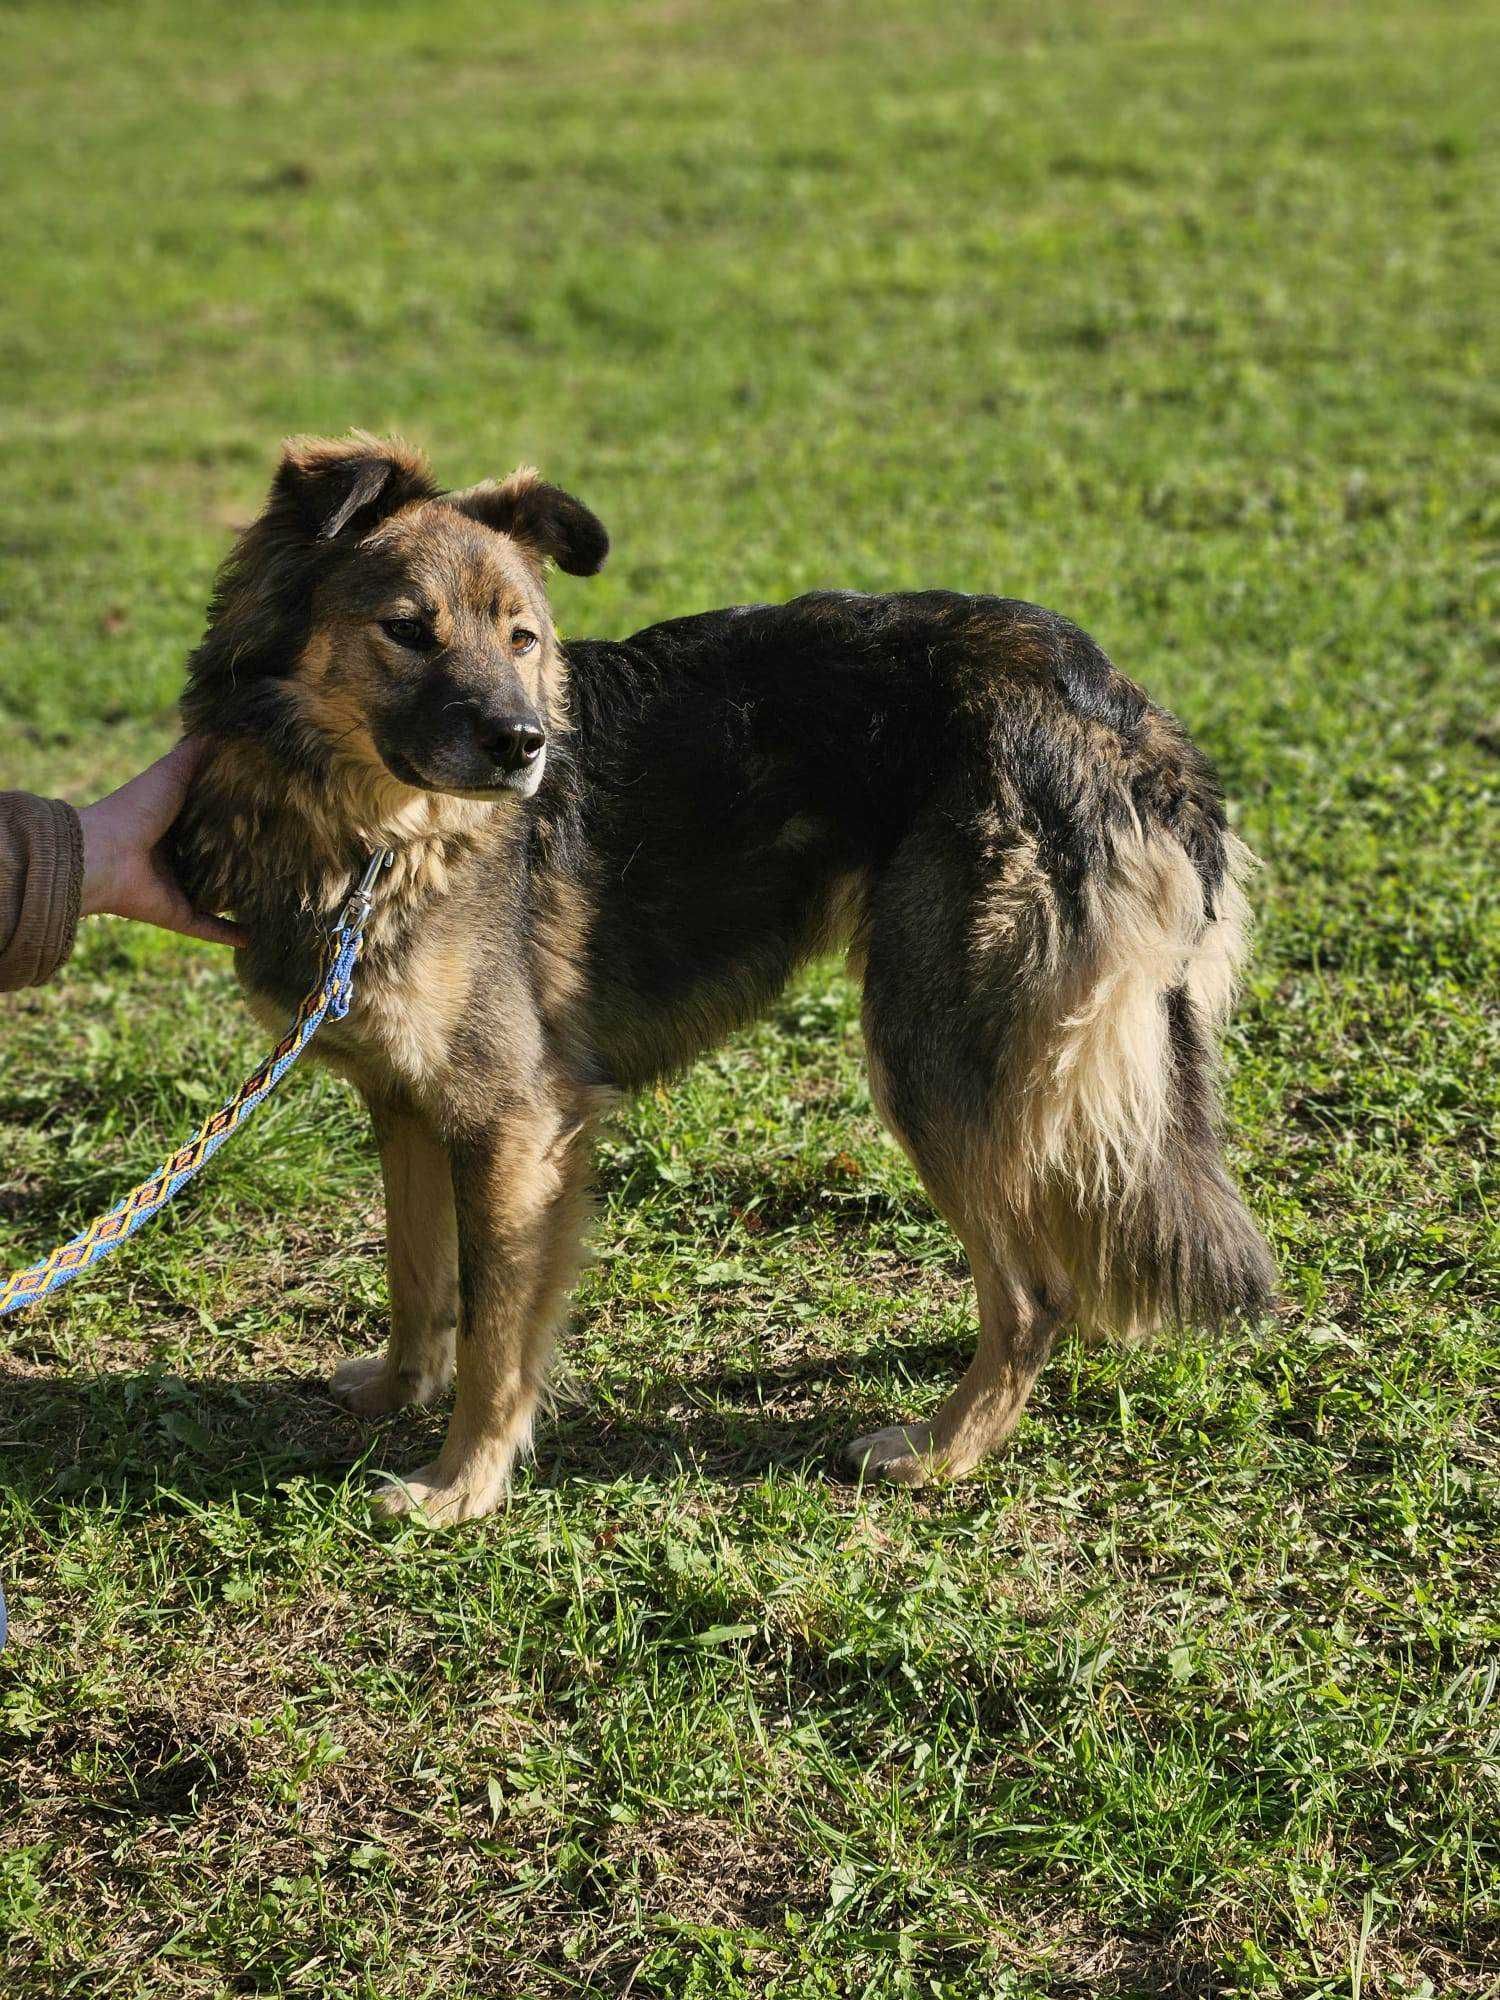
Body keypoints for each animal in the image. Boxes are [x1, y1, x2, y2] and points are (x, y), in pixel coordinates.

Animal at [176, 438, 1280, 1520]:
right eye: (407, 630)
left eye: (523, 639)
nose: (526, 745)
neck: (371, 837)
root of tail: (1132, 726)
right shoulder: (406, 1098)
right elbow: (416, 1271)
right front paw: (398, 1388)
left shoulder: (515, 1119)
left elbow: (497, 1324)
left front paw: (461, 1484)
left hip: (928, 1051)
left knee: (1034, 1288)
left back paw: (938, 1450)